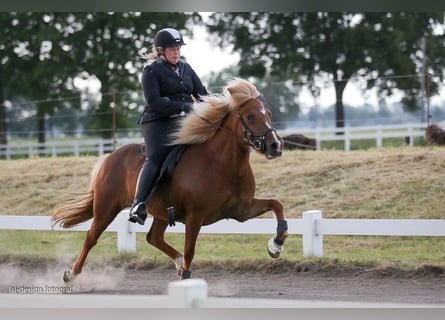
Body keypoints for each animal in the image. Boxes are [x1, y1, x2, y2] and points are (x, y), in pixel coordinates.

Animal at [52, 79, 288, 282]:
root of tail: (110, 156)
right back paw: (71, 274)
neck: (223, 164)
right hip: (106, 208)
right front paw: (186, 277)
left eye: (268, 113)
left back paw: (177, 262)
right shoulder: (195, 217)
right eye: (250, 116)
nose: (275, 146)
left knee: (153, 237)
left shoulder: (241, 210)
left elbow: (277, 205)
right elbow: (190, 249)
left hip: (161, 211)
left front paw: (276, 245)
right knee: (91, 237)